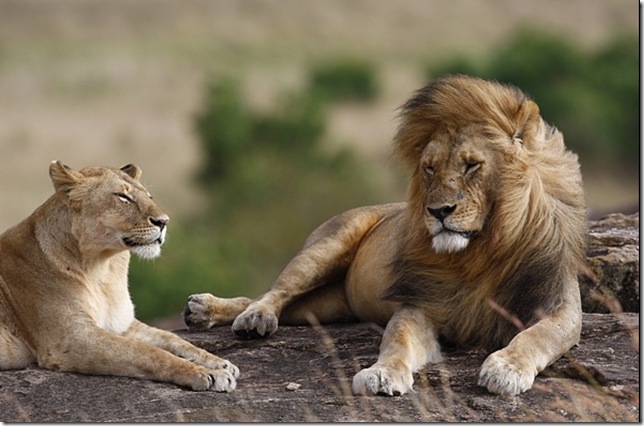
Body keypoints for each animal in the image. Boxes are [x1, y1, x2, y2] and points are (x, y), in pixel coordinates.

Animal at [0, 161, 238, 392]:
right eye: (123, 197)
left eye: (149, 196)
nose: (164, 222)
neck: (102, 269)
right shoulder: (70, 339)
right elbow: (148, 353)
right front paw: (208, 374)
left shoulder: (122, 324)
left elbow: (172, 338)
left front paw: (219, 363)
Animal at [183, 75, 587, 396]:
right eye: (429, 168)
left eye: (472, 165)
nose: (438, 211)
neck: (481, 251)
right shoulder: (422, 302)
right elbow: (397, 340)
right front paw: (381, 375)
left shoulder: (558, 305)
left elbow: (537, 336)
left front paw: (506, 368)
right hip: (326, 247)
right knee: (274, 292)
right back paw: (243, 316)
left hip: (328, 305)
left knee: (278, 301)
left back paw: (205, 311)